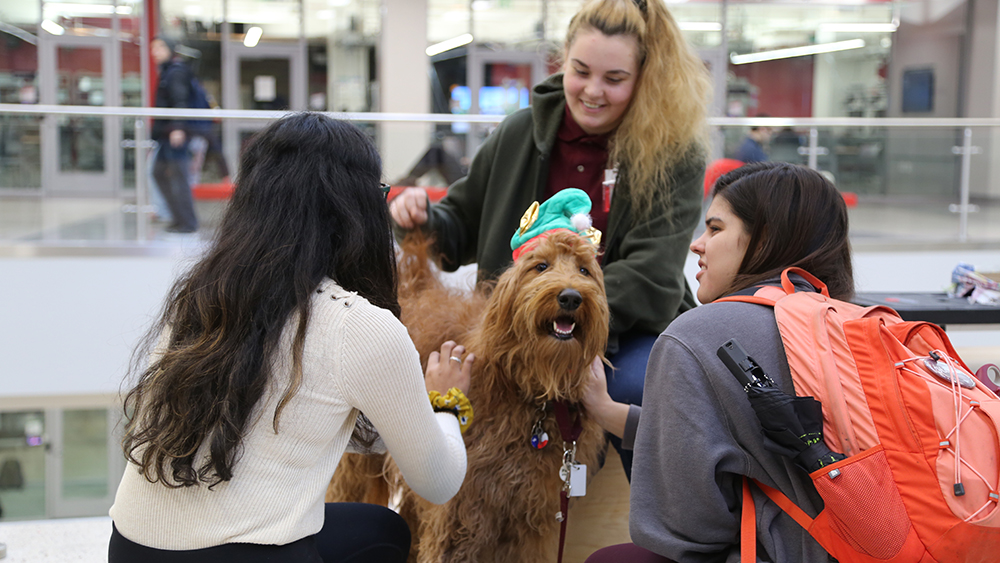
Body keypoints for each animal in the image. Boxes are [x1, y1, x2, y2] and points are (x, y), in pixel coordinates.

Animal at [328, 202, 608, 560]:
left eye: (585, 270)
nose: (571, 297)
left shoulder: (527, 522)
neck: (530, 393)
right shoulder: (460, 514)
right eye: (541, 266)